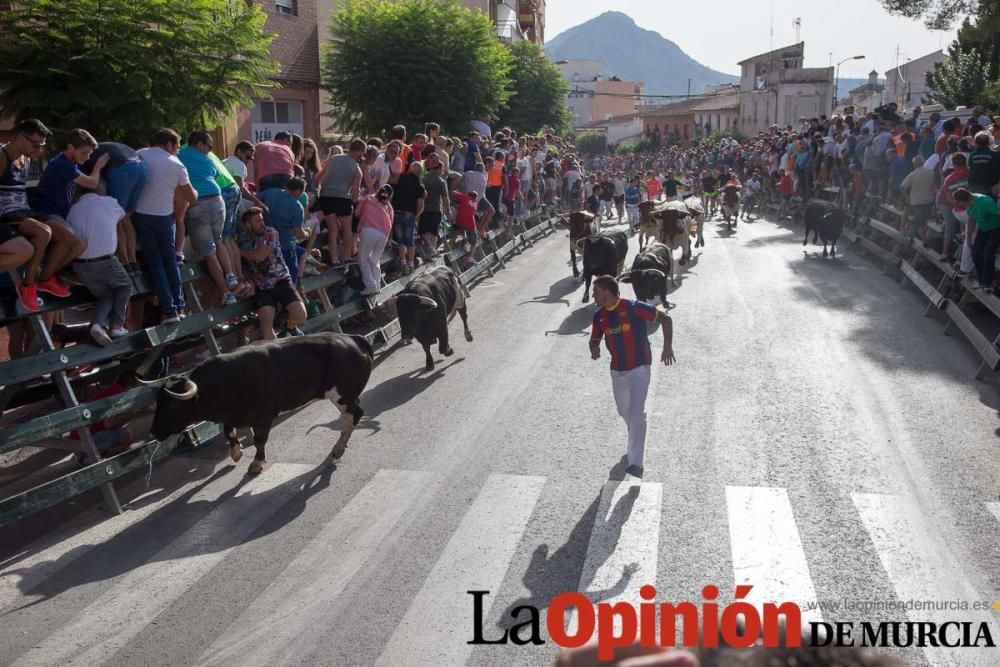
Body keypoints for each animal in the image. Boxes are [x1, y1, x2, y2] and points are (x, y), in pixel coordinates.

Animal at [145, 332, 372, 474]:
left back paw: (338, 449)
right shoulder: (233, 415)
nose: (154, 432)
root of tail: (354, 338)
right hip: (348, 396)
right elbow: (228, 431)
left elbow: (259, 440)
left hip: (343, 396)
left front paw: (256, 464)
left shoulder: (263, 416)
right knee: (351, 417)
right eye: (158, 402)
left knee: (355, 415)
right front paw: (236, 453)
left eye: (173, 405)